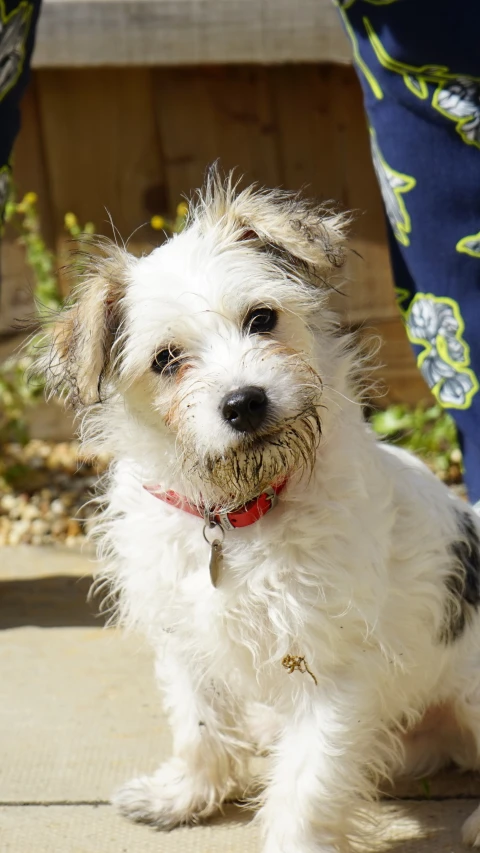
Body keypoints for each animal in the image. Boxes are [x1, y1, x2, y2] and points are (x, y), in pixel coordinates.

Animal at [40, 171, 480, 852]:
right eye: (166, 359)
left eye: (263, 318)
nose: (244, 401)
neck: (237, 513)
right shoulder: (185, 638)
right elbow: (197, 723)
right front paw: (184, 795)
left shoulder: (330, 667)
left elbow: (309, 782)